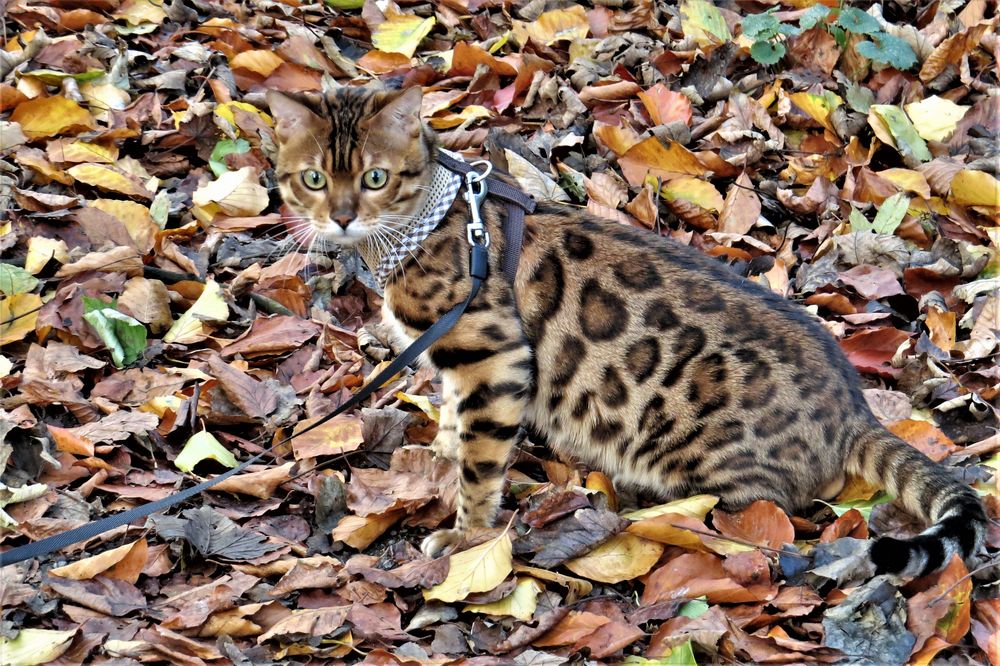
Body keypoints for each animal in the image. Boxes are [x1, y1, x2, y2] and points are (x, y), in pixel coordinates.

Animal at [266, 87, 984, 576]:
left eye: (375, 178)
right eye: (313, 179)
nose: (340, 218)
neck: (429, 222)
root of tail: (854, 408)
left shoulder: (493, 357)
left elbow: (481, 462)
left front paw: (467, 535)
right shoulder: (459, 362)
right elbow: (452, 417)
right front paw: (441, 447)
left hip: (705, 458)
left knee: (767, 508)